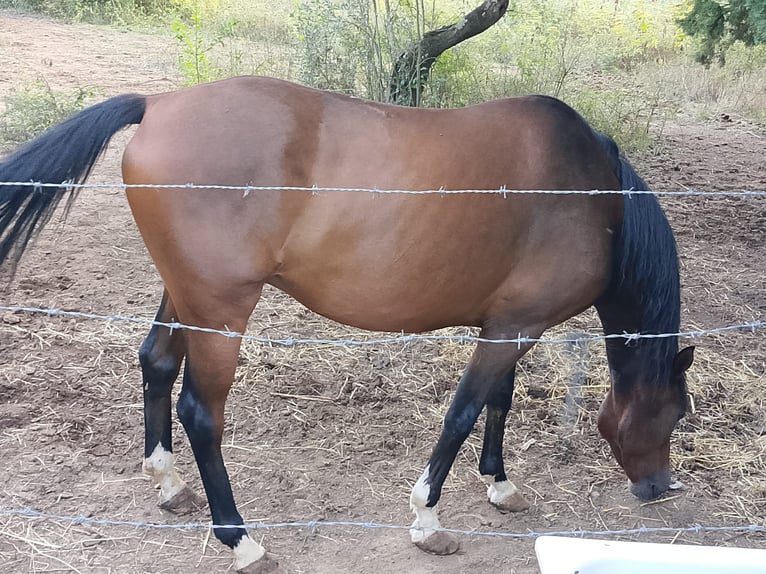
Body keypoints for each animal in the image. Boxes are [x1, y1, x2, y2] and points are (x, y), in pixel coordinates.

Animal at [0, 77, 696, 574]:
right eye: (675, 413)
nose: (660, 488)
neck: (592, 196)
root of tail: (160, 104)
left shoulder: (509, 322)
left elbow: (497, 401)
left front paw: (499, 485)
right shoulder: (514, 328)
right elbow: (464, 412)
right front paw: (427, 520)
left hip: (187, 296)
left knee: (156, 363)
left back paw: (170, 486)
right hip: (222, 311)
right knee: (201, 411)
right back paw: (242, 542)